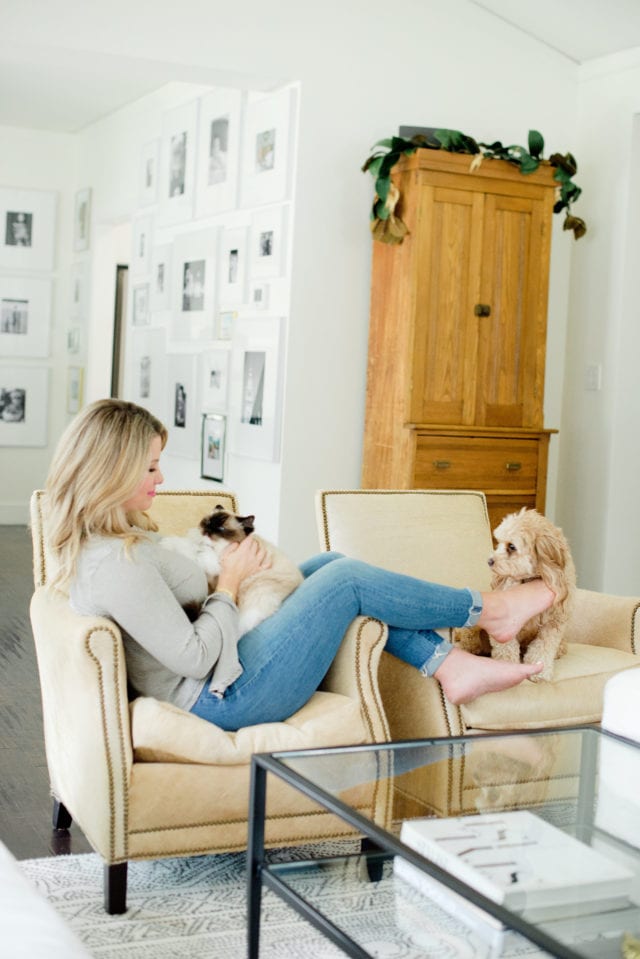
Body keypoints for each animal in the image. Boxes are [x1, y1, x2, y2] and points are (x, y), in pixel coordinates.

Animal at [159, 506, 302, 632]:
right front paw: (166, 544)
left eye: (221, 528)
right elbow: (185, 545)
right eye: (208, 522)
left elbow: (196, 552)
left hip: (256, 595)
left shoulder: (214, 563)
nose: (207, 531)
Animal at [452, 510, 576, 684]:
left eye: (511, 546)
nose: (489, 561)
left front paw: (540, 673)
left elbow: (542, 648)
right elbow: (506, 648)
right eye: (498, 542)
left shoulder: (552, 625)